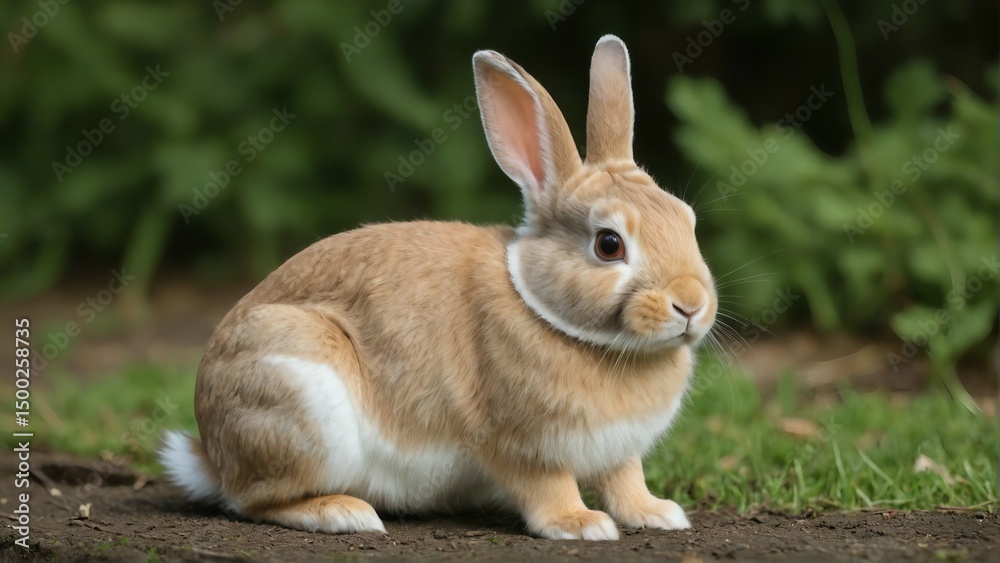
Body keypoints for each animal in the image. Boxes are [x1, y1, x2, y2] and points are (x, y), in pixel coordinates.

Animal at [160, 34, 717, 541]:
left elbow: (626, 480)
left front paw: (659, 514)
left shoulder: (620, 451)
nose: (691, 305)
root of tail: (210, 452)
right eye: (608, 244)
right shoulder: (518, 443)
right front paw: (581, 525)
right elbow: (546, 486)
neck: (548, 313)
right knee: (253, 500)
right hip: (299, 400)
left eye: (688, 222)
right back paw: (345, 513)